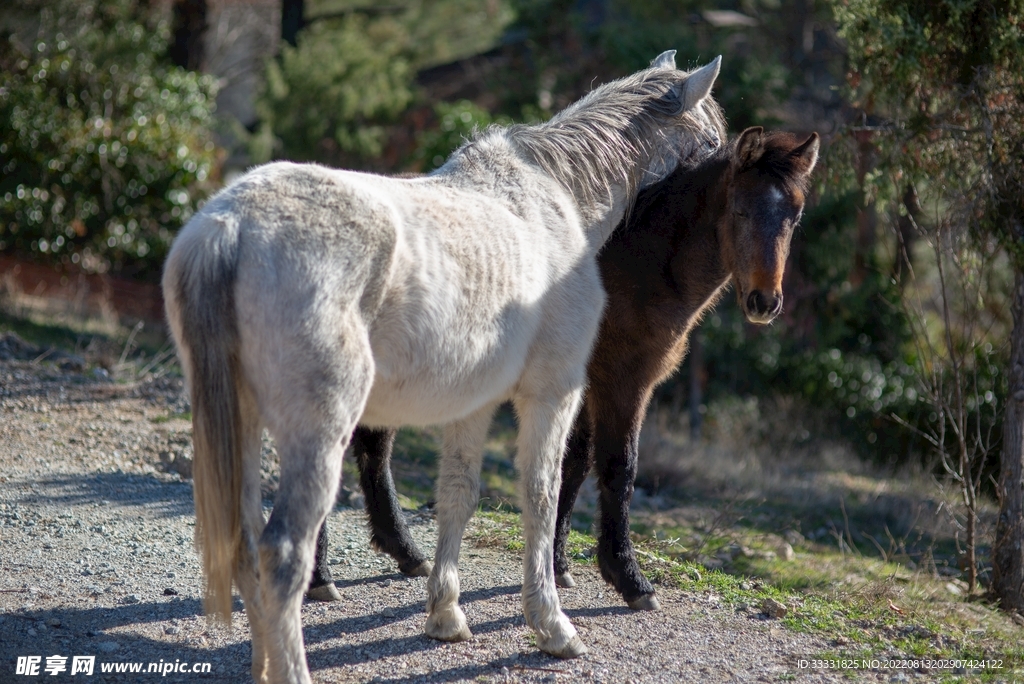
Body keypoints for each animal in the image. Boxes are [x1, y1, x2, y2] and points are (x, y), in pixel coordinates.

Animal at [163, 50, 725, 684]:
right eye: (711, 144)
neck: (555, 200)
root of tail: (231, 226)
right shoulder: (552, 394)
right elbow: (541, 494)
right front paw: (552, 625)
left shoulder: (473, 405)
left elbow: (458, 495)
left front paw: (446, 614)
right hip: (318, 431)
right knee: (282, 554)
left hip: (241, 422)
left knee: (246, 543)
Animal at [305, 127, 820, 614]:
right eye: (741, 211)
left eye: (794, 216)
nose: (764, 302)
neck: (638, 266)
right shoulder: (622, 382)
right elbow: (617, 466)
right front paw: (628, 577)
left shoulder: (591, 385)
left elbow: (573, 464)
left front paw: (558, 562)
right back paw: (320, 576)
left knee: (372, 450)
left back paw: (404, 553)